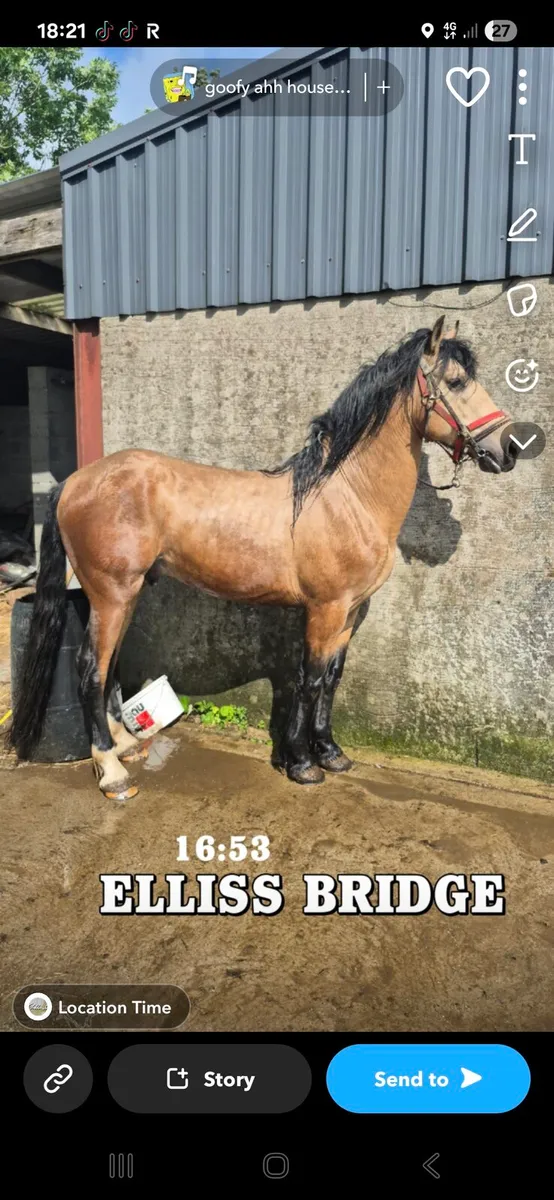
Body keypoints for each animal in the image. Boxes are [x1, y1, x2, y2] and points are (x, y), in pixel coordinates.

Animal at [9, 316, 518, 799]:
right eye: (456, 382)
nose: (508, 448)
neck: (346, 495)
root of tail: (73, 482)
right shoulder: (325, 609)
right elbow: (309, 680)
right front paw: (302, 763)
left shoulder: (351, 611)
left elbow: (332, 679)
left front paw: (330, 752)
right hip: (111, 594)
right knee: (90, 670)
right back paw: (112, 772)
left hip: (125, 595)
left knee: (109, 665)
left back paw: (126, 745)